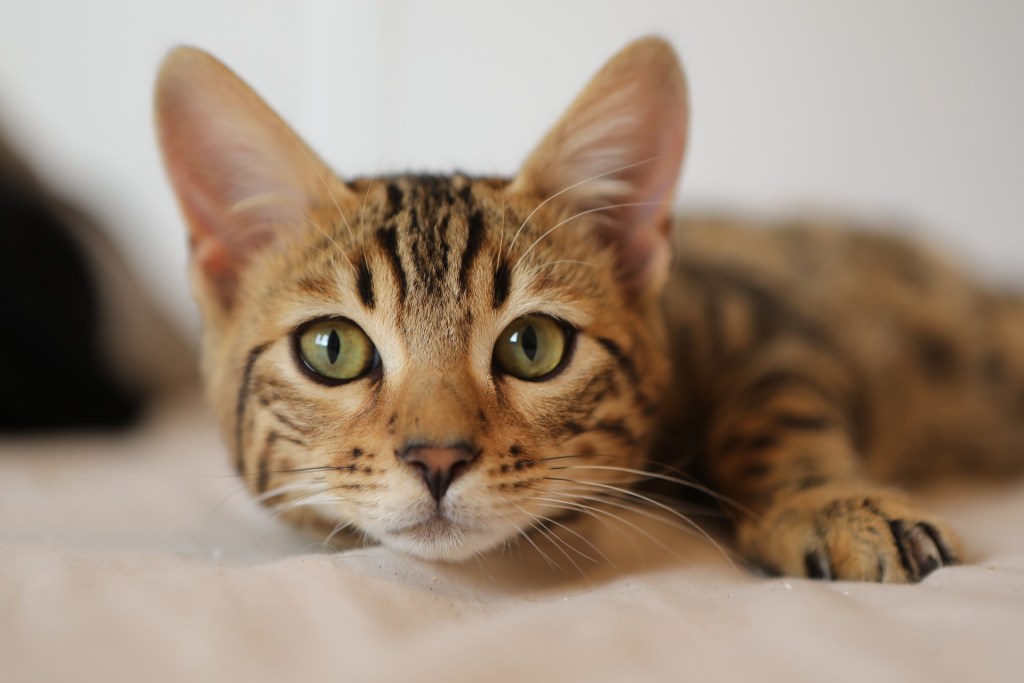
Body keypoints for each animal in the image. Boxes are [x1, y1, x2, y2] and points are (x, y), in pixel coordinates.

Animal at [153, 36, 1024, 581]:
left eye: (532, 345)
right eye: (332, 349)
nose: (437, 458)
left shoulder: (762, 318)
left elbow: (776, 412)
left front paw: (827, 502)